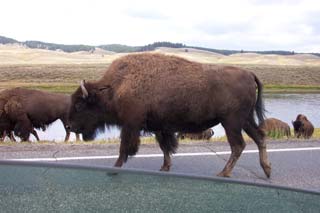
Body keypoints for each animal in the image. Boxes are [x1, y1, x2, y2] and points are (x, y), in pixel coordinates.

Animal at [69, 53, 272, 178]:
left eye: (79, 104)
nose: (69, 126)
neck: (115, 87)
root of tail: (249, 73)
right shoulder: (160, 127)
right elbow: (165, 147)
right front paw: (164, 167)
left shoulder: (131, 125)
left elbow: (124, 148)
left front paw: (114, 168)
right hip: (245, 120)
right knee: (259, 137)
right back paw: (267, 170)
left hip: (231, 123)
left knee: (238, 145)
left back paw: (224, 173)